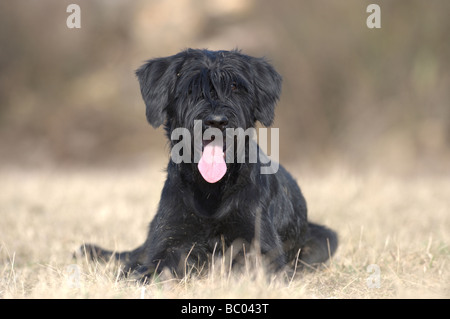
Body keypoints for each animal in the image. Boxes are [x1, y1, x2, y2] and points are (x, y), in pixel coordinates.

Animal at [78, 48, 338, 280]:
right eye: (191, 88)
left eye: (235, 87)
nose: (216, 121)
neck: (211, 191)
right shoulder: (170, 239)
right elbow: (158, 265)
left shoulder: (259, 244)